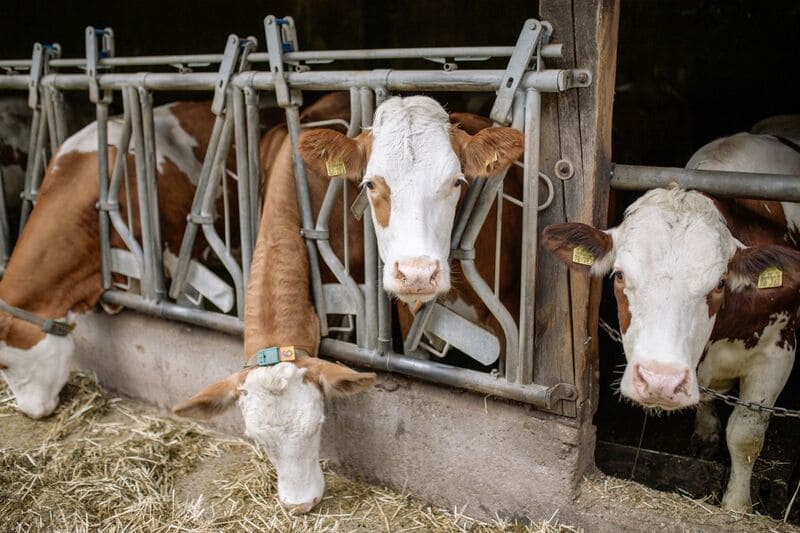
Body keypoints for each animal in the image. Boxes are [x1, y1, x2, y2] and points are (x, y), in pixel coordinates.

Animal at [542, 123, 800, 511]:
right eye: (619, 275)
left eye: (719, 282)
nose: (660, 381)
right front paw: (705, 434)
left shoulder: (777, 352)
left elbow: (746, 435)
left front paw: (736, 506)